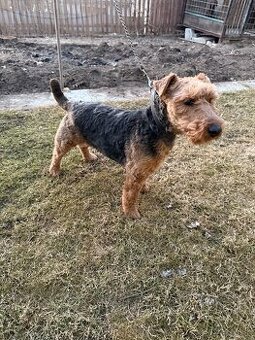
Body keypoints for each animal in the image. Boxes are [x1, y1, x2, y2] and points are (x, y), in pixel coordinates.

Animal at [48, 73, 224, 219]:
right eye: (188, 101)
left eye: (210, 99)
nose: (216, 129)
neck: (154, 125)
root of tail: (72, 104)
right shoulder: (134, 172)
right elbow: (130, 194)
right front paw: (131, 213)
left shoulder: (144, 167)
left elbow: (141, 183)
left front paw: (144, 188)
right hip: (65, 139)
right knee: (57, 155)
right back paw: (55, 171)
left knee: (83, 146)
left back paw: (89, 157)